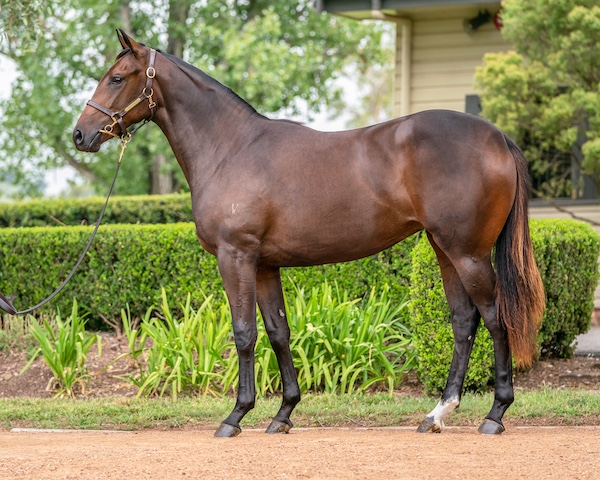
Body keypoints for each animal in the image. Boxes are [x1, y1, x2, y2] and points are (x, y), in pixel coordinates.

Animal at [72, 29, 548, 436]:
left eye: (116, 77)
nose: (80, 135)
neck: (230, 149)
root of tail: (498, 138)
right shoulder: (264, 265)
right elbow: (278, 332)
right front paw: (283, 414)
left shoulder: (235, 255)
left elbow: (244, 332)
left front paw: (236, 415)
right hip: (444, 249)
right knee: (463, 322)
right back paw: (437, 414)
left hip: (468, 252)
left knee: (494, 317)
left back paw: (495, 414)